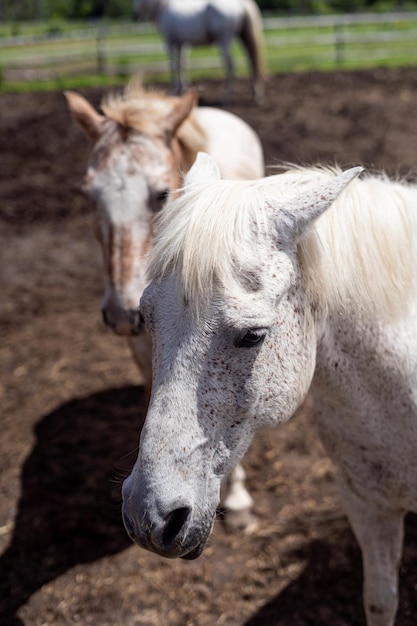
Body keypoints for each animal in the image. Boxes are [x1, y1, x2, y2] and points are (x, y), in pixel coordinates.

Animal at [132, 0, 264, 101]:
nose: (134, 15)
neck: (164, 8)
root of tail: (241, 4)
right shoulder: (182, 44)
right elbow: (182, 65)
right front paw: (182, 89)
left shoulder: (170, 43)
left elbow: (173, 65)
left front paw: (174, 90)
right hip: (243, 38)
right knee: (251, 62)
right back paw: (256, 93)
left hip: (223, 41)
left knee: (231, 65)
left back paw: (226, 96)